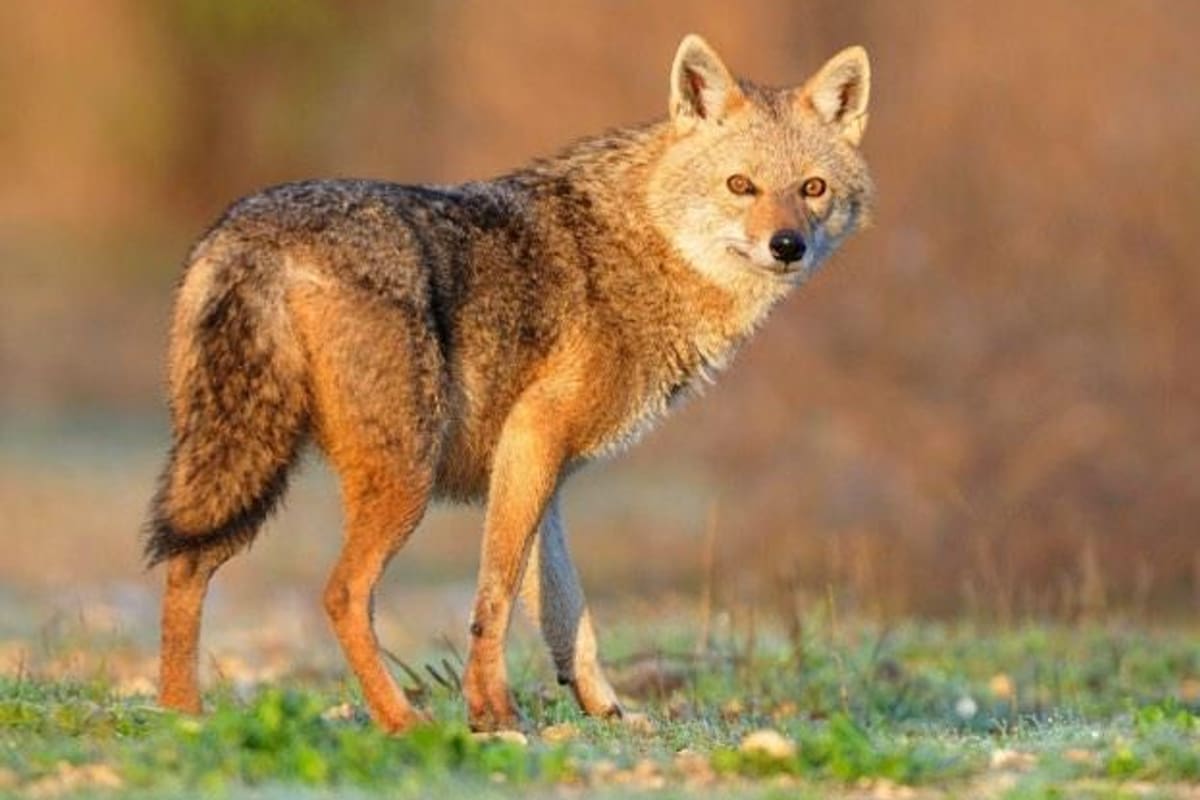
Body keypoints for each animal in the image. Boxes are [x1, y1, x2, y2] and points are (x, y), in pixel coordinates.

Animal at [147, 34, 874, 732]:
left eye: (812, 189)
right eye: (740, 185)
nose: (787, 246)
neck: (645, 247)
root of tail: (256, 233)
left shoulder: (539, 469)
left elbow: (568, 614)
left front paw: (607, 711)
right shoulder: (533, 437)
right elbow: (494, 594)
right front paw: (492, 712)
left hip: (235, 464)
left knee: (185, 567)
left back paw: (182, 715)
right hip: (395, 479)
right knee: (340, 593)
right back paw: (400, 720)